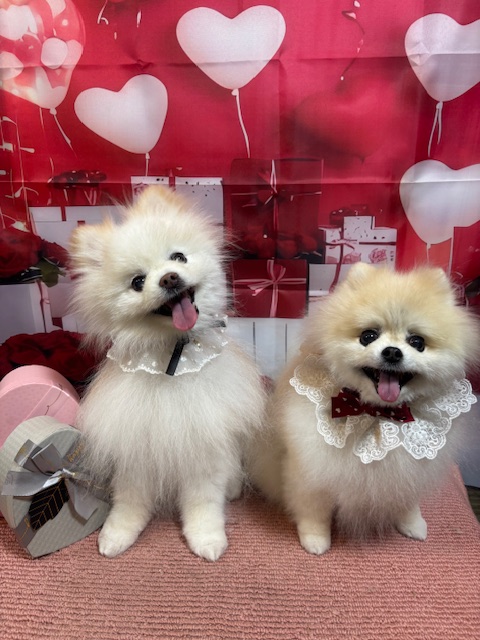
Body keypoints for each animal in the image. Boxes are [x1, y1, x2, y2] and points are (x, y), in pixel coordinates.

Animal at [69, 186, 265, 560]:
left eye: (178, 257)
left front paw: (206, 538)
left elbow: (203, 502)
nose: (169, 277)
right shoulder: (135, 444)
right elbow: (129, 500)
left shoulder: (203, 443)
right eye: (137, 281)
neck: (172, 355)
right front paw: (117, 533)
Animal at [247, 263, 479, 554]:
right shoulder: (311, 469)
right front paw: (315, 539)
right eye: (368, 336)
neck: (377, 414)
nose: (392, 352)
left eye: (417, 342)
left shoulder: (409, 471)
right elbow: (313, 509)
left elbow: (408, 501)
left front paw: (412, 524)